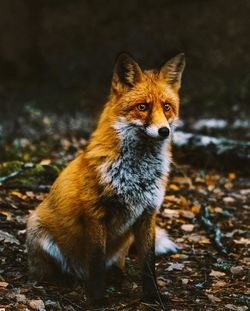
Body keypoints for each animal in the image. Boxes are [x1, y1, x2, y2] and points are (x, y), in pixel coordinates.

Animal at [26, 52, 186, 308]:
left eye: (167, 107)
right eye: (142, 107)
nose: (164, 131)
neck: (136, 175)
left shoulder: (148, 214)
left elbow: (148, 265)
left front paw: (153, 296)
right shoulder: (95, 214)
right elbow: (96, 263)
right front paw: (97, 299)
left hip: (125, 242)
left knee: (118, 264)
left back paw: (119, 278)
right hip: (37, 228)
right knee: (50, 271)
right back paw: (63, 280)